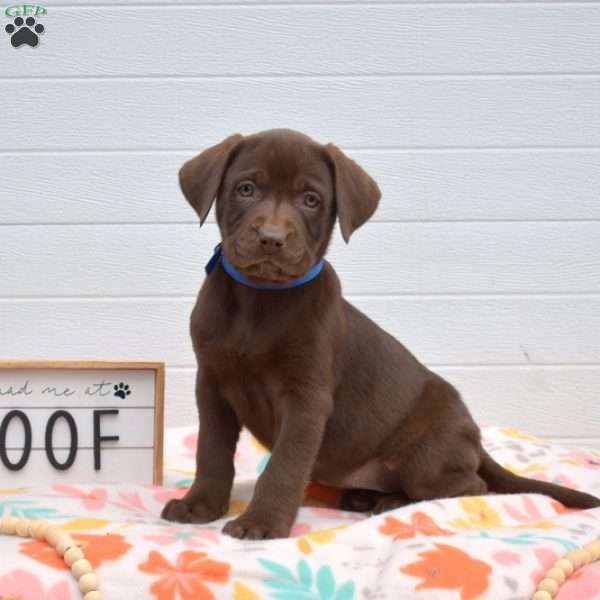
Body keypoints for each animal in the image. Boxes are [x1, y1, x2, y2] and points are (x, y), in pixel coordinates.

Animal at [161, 130, 600, 540]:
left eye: (311, 200)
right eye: (246, 189)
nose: (271, 238)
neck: (259, 300)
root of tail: (473, 436)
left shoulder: (306, 398)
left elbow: (284, 465)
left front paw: (261, 522)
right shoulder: (212, 384)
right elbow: (211, 453)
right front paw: (200, 505)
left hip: (427, 459)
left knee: (471, 486)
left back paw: (394, 501)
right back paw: (365, 497)